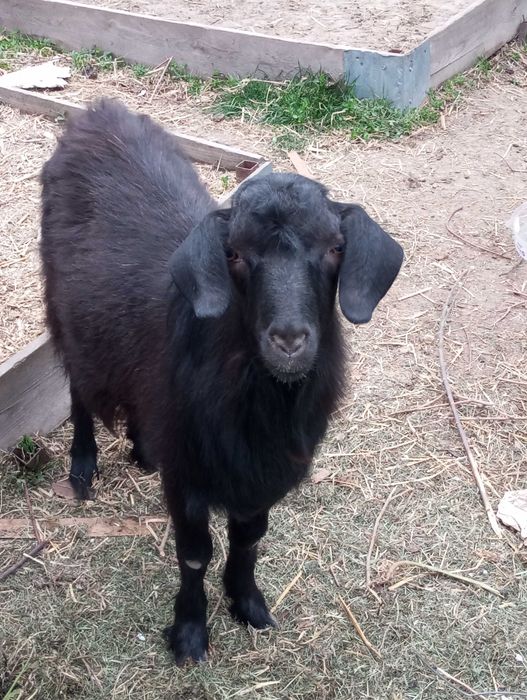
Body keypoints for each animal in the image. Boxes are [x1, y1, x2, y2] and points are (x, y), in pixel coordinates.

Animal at [40, 99, 403, 665]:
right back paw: (82, 467)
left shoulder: (258, 474)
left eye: (334, 248)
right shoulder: (190, 474)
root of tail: (98, 111)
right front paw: (190, 633)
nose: (289, 340)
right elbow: (194, 554)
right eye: (233, 253)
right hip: (64, 310)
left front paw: (248, 602)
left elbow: (249, 538)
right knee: (77, 386)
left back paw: (143, 449)